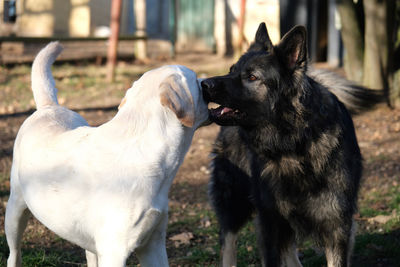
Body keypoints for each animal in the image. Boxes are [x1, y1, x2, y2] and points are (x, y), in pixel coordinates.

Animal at [4, 43, 209, 266]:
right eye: (196, 79)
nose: (209, 82)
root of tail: (49, 107)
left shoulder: (153, 244)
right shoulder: (114, 251)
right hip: (15, 211)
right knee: (14, 252)